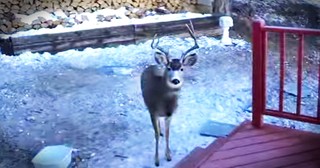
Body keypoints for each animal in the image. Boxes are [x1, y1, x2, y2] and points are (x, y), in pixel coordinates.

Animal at [141, 21, 199, 167]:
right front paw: (156, 160)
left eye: (182, 68)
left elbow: (168, 134)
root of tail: (153, 65)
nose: (175, 80)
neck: (164, 104)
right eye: (168, 68)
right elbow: (155, 135)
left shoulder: (170, 114)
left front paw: (168, 156)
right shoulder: (153, 111)